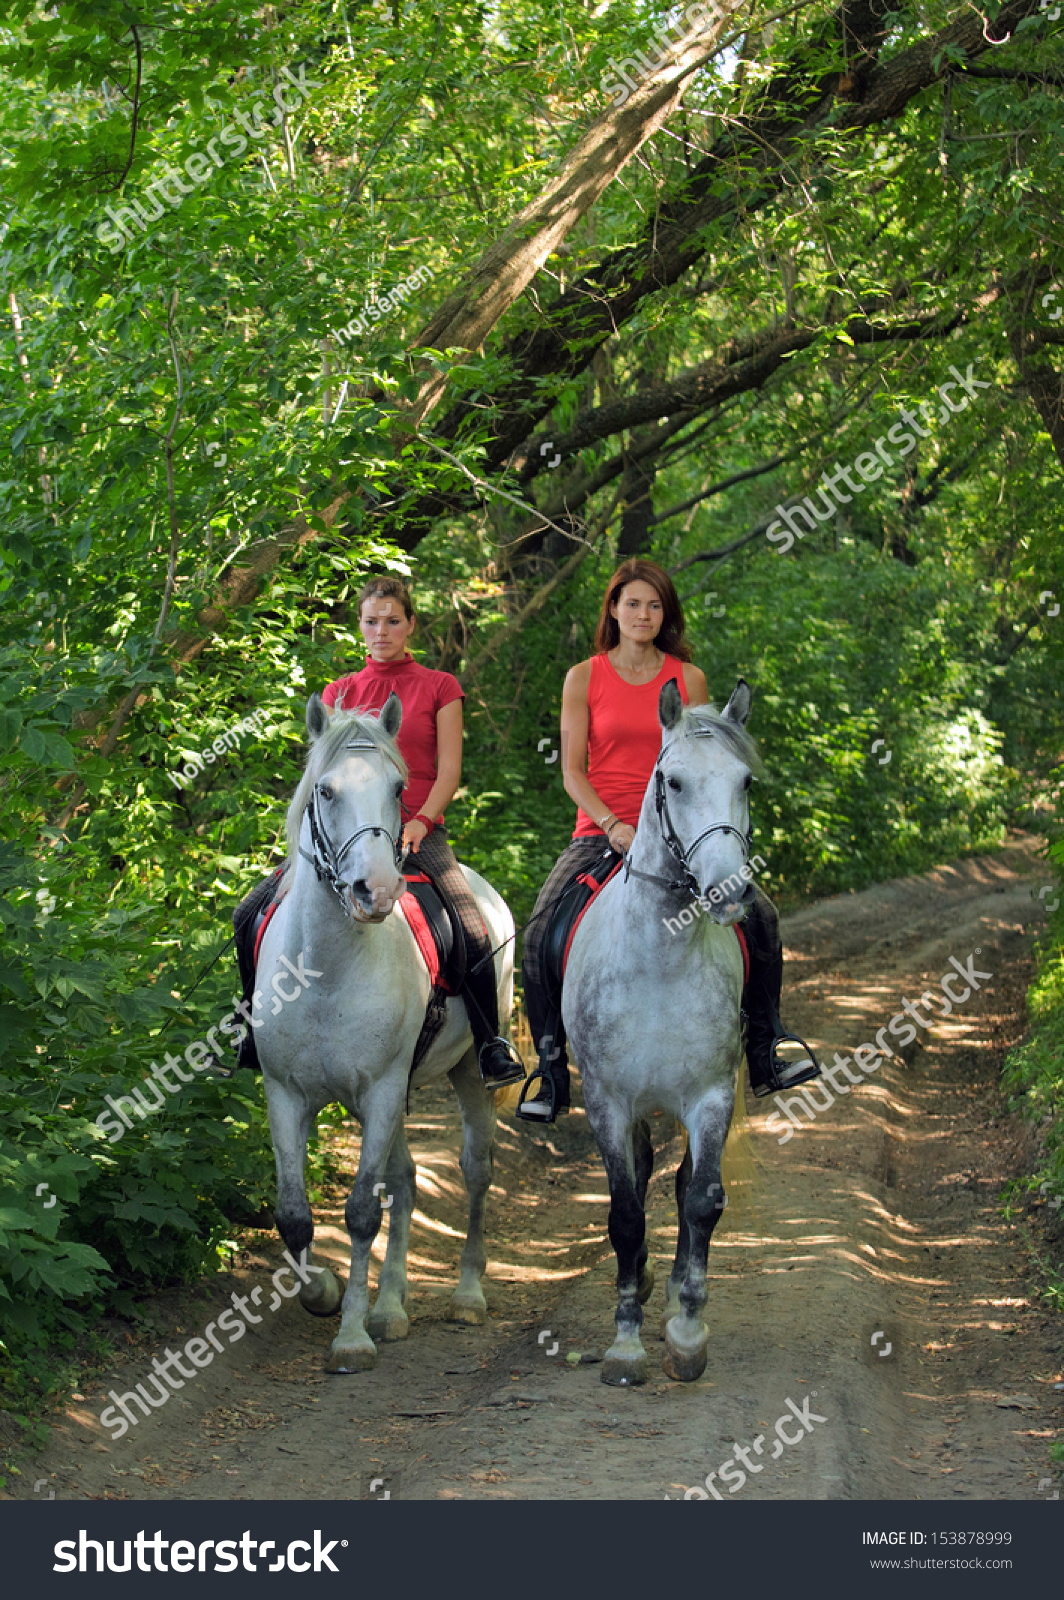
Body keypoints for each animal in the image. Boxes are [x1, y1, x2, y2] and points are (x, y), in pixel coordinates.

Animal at [251, 694, 512, 1369]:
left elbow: (362, 1212)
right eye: (325, 790)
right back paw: (392, 1306)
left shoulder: (382, 1090)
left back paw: (466, 1296)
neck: (324, 971)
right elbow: (294, 1215)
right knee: (408, 1179)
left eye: (399, 788)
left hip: (462, 1073)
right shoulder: (286, 1095)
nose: (376, 890)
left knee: (475, 1169)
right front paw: (323, 1292)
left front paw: (350, 1336)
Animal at [563, 681, 755, 1382]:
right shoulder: (608, 1100)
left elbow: (701, 1199)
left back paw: (670, 1292)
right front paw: (625, 1342)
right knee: (644, 1178)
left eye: (745, 781)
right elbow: (623, 1213)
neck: (660, 957)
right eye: (672, 781)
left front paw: (688, 1332)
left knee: (678, 1184)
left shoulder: (711, 1095)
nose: (729, 890)